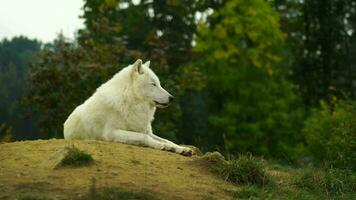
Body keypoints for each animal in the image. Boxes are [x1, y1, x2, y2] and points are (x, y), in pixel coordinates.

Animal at [62, 59, 193, 156]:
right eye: (153, 84)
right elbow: (144, 137)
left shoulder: (144, 129)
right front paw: (163, 146)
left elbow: (167, 140)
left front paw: (181, 148)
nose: (172, 98)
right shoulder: (111, 133)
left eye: (159, 84)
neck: (131, 102)